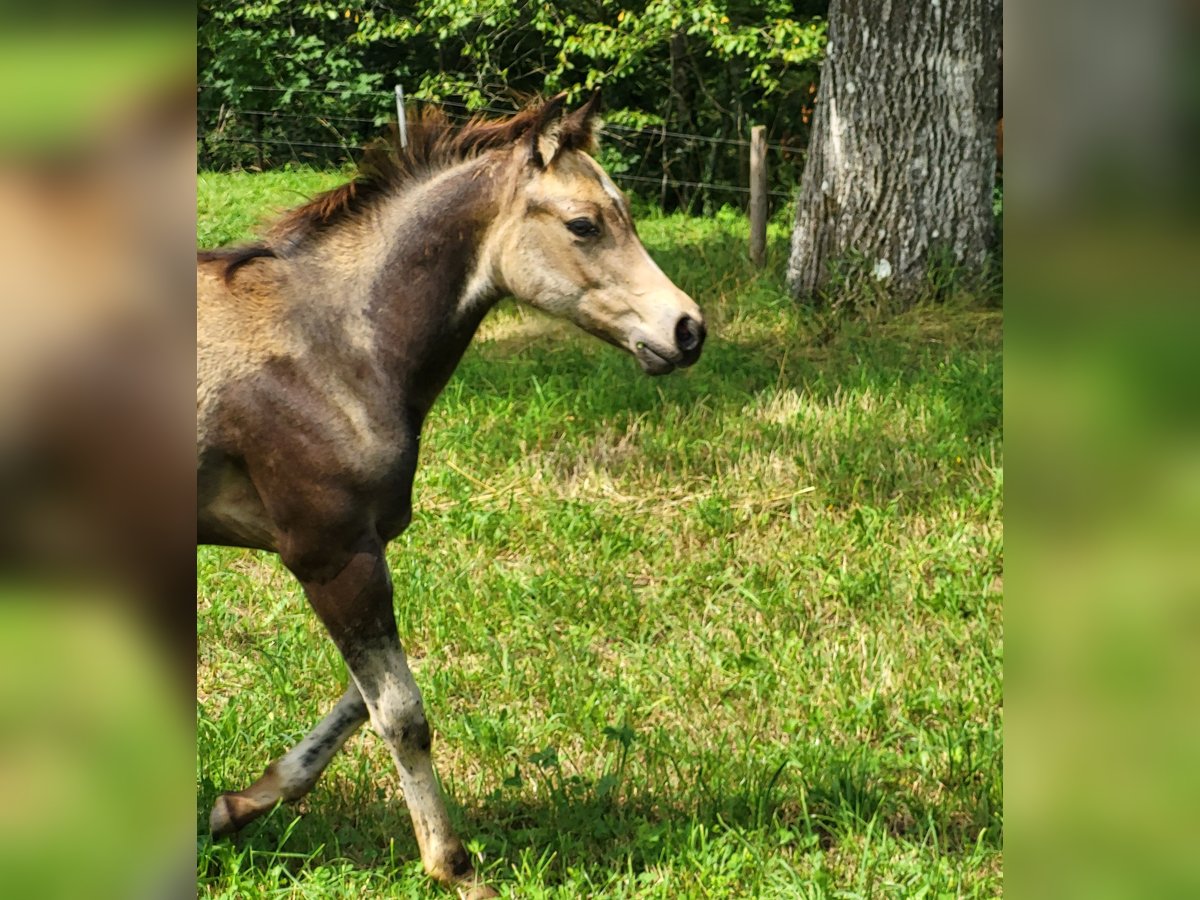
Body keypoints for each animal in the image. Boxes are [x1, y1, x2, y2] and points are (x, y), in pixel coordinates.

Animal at [194, 93, 700, 900]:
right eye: (584, 224)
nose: (688, 330)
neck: (331, 346)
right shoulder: (332, 554)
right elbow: (401, 713)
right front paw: (454, 865)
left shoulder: (361, 552)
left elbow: (361, 699)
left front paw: (238, 804)